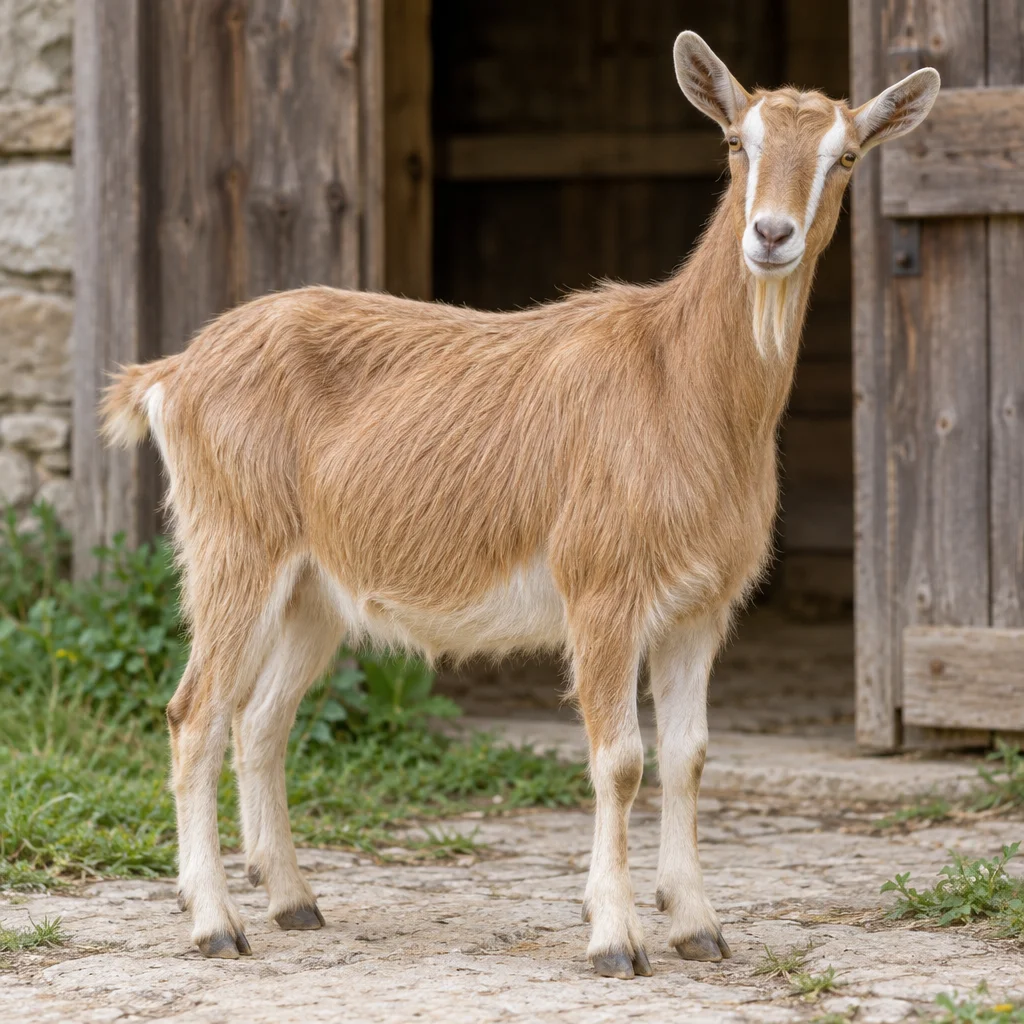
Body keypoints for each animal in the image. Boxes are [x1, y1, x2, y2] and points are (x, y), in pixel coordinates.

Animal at [100, 32, 939, 977]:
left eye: (847, 156)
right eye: (736, 142)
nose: (770, 234)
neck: (678, 384)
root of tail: (173, 372)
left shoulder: (703, 605)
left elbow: (688, 756)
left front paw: (698, 926)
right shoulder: (601, 587)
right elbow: (621, 759)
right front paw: (614, 938)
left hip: (313, 588)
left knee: (261, 721)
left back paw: (294, 902)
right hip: (232, 545)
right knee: (195, 715)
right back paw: (215, 923)